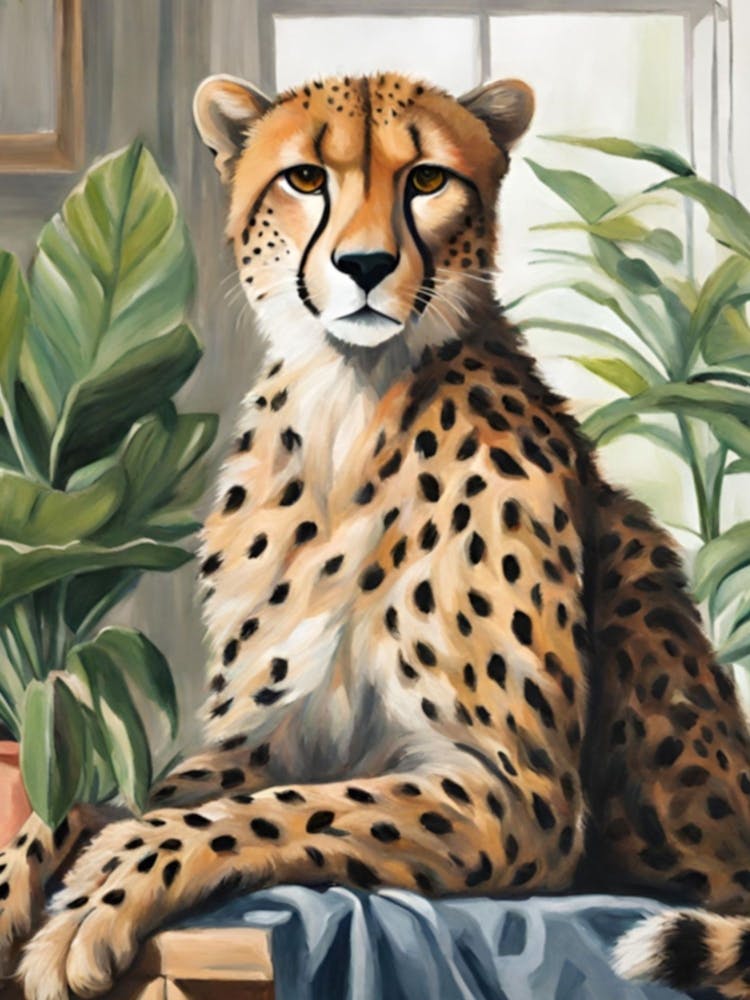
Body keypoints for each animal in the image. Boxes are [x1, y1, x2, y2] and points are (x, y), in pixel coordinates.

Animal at [2, 70, 750, 1000]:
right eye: (305, 178)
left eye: (426, 179)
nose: (364, 266)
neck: (350, 407)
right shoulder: (263, 739)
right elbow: (112, 795)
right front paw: (25, 877)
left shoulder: (515, 792)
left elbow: (258, 817)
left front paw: (100, 893)